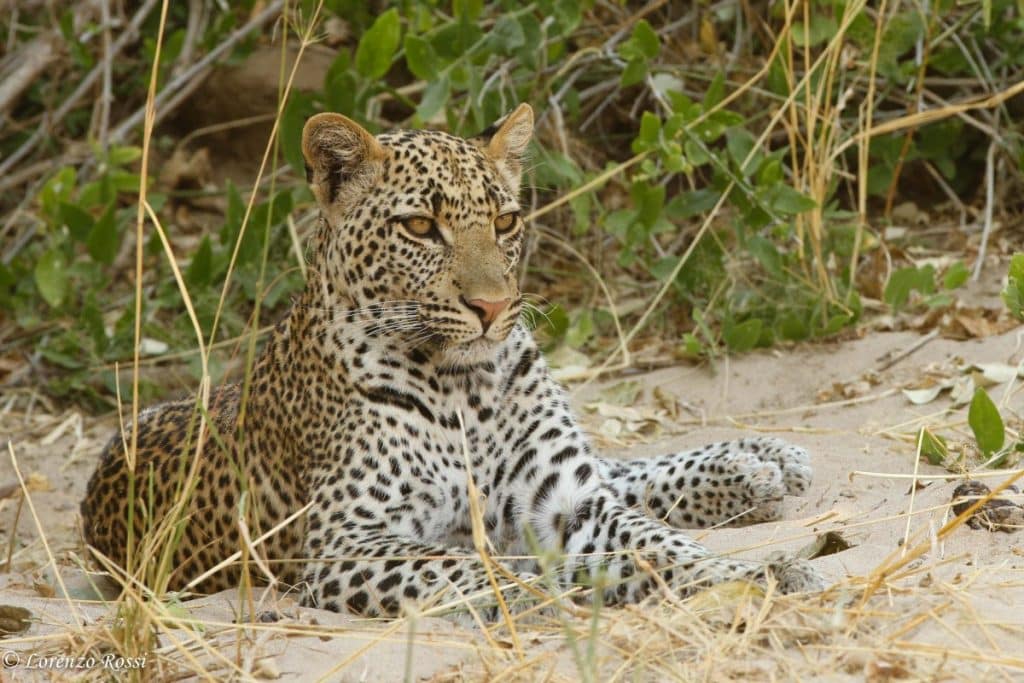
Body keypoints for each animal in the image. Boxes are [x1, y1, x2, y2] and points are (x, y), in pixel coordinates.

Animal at [80, 104, 824, 618]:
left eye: (505, 222)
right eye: (419, 227)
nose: (493, 307)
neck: (467, 387)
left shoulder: (570, 499)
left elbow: (657, 544)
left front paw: (757, 578)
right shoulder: (347, 543)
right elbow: (470, 568)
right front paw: (546, 594)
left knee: (622, 470)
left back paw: (758, 463)